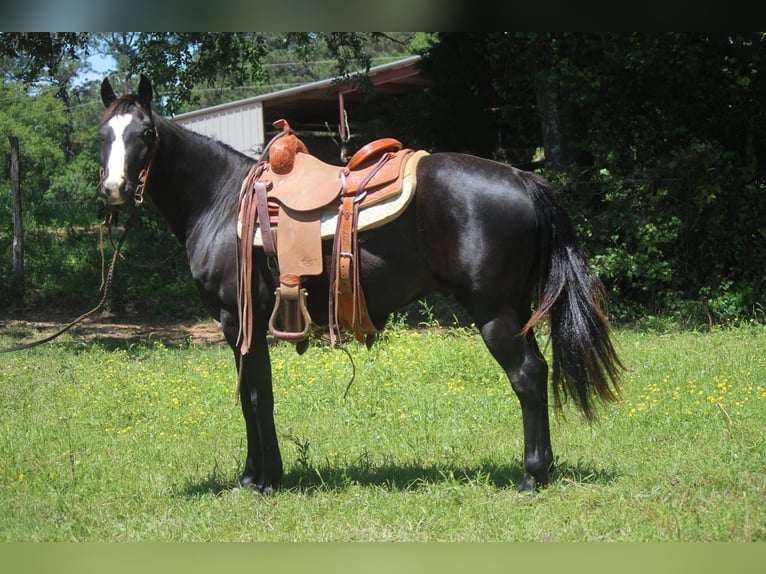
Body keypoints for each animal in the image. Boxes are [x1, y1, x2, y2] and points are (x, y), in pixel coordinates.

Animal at [97, 74, 624, 492]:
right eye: (103, 134)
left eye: (146, 133)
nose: (114, 189)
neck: (222, 202)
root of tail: (522, 178)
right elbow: (256, 397)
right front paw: (261, 474)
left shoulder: (239, 322)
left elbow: (254, 397)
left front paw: (261, 479)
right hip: (517, 311)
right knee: (540, 369)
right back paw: (546, 469)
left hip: (493, 313)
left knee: (528, 376)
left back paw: (532, 476)